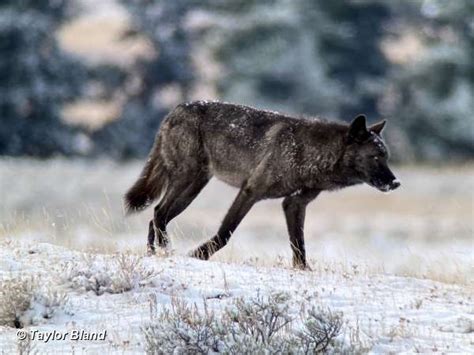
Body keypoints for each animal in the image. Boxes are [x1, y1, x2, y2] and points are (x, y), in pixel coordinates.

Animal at [124, 100, 398, 270]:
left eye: (386, 157)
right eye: (376, 157)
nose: (396, 182)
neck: (308, 154)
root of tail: (176, 110)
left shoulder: (294, 203)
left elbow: (299, 245)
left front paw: (303, 270)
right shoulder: (250, 191)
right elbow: (225, 233)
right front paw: (197, 256)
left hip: (192, 188)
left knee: (155, 215)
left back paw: (153, 254)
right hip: (188, 182)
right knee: (159, 214)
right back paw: (167, 252)